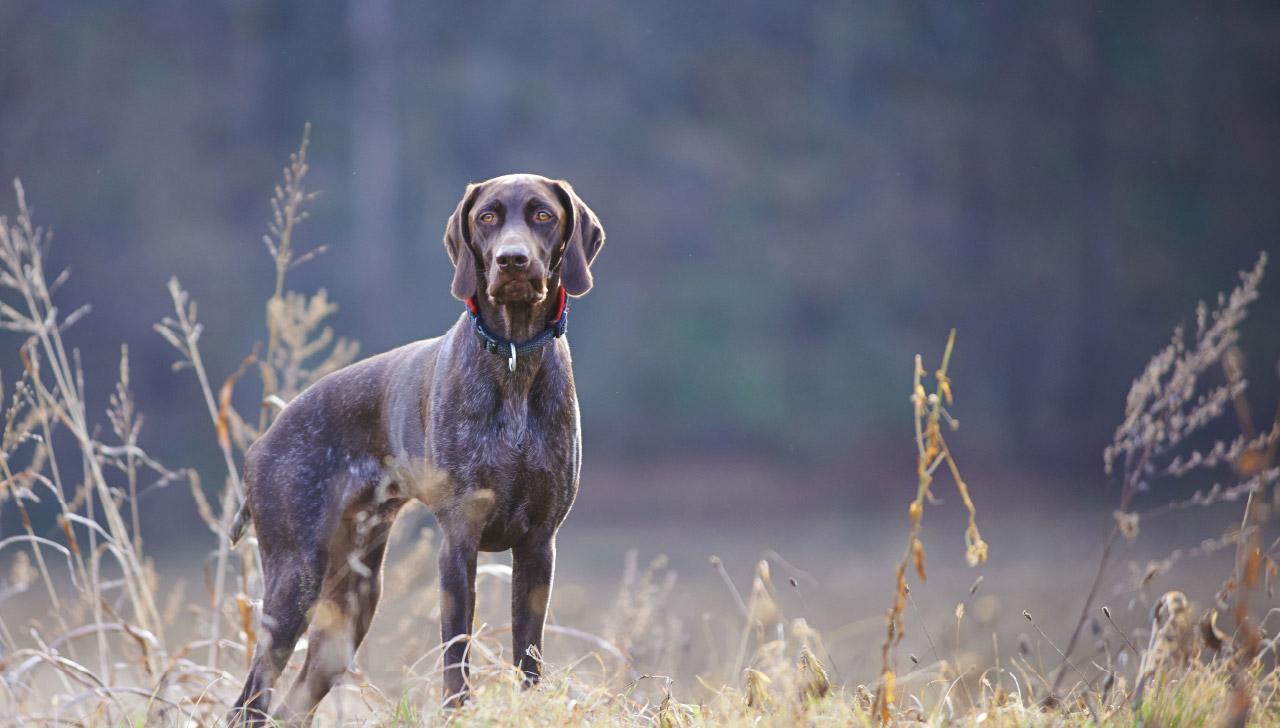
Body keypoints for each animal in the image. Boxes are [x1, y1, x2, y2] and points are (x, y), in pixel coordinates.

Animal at [229, 172, 604, 721]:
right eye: (486, 217)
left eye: (543, 215)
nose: (512, 260)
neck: (514, 358)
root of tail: (262, 442)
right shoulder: (459, 542)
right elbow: (456, 656)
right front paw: (457, 713)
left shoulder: (538, 547)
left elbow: (528, 657)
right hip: (294, 582)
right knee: (248, 702)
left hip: (351, 607)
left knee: (289, 707)